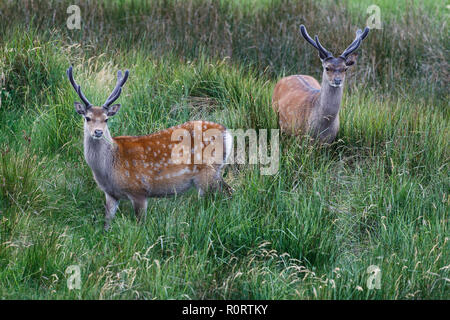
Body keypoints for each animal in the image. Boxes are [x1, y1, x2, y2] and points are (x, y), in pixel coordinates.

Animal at [69, 67, 236, 230]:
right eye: (87, 117)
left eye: (106, 119)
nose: (98, 132)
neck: (108, 169)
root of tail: (227, 132)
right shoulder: (110, 194)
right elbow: (107, 222)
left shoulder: (139, 190)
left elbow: (140, 225)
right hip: (215, 172)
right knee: (229, 191)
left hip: (206, 173)